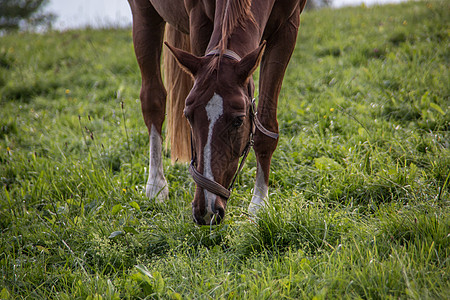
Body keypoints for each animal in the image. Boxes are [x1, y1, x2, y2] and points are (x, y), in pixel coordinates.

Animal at [128, 0, 308, 225]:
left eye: (239, 120)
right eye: (188, 116)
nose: (206, 210)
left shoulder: (288, 28)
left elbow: (265, 129)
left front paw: (259, 205)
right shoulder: (199, 21)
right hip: (143, 13)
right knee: (153, 100)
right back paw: (156, 186)